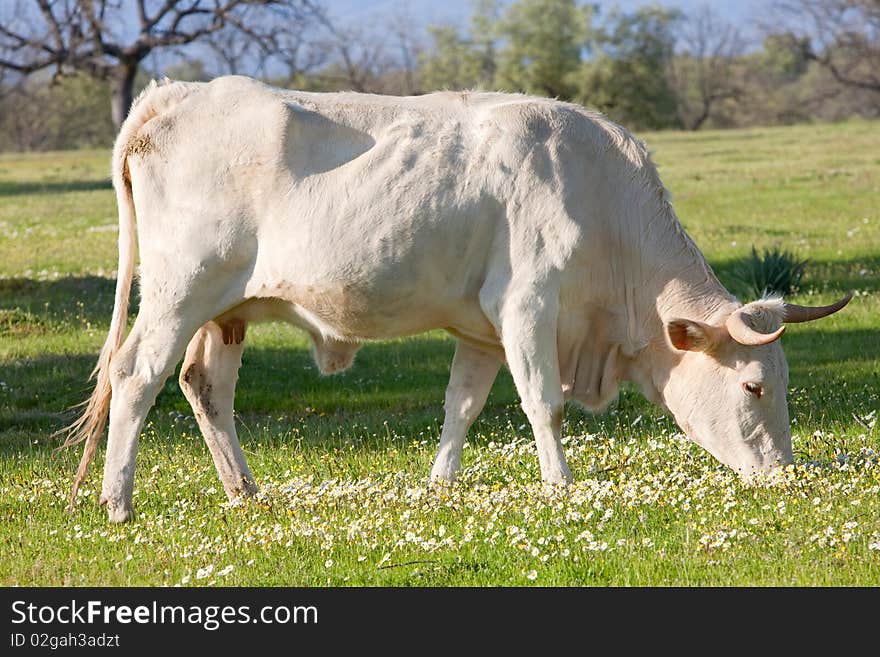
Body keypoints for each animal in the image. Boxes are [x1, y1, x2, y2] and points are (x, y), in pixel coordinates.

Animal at [63, 77, 852, 520]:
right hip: (178, 293)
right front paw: (561, 487)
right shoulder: (528, 304)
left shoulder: (481, 330)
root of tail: (174, 92)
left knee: (205, 387)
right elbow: (543, 402)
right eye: (753, 386)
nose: (784, 475)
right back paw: (118, 502)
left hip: (224, 311)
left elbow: (462, 405)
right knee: (136, 377)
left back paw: (245, 493)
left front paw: (441, 485)